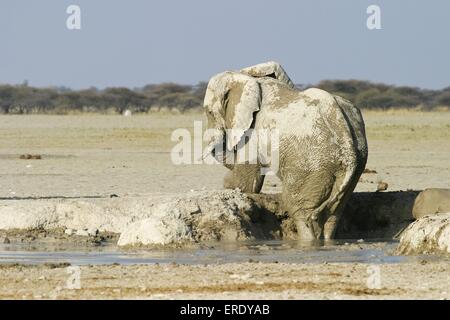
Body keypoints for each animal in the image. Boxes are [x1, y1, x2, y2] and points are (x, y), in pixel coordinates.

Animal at [202, 61, 368, 240]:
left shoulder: (252, 130)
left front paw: (229, 185)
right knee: (333, 215)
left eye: (209, 112)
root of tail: (349, 148)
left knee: (299, 209)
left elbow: (245, 182)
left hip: (309, 167)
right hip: (347, 170)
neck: (246, 77)